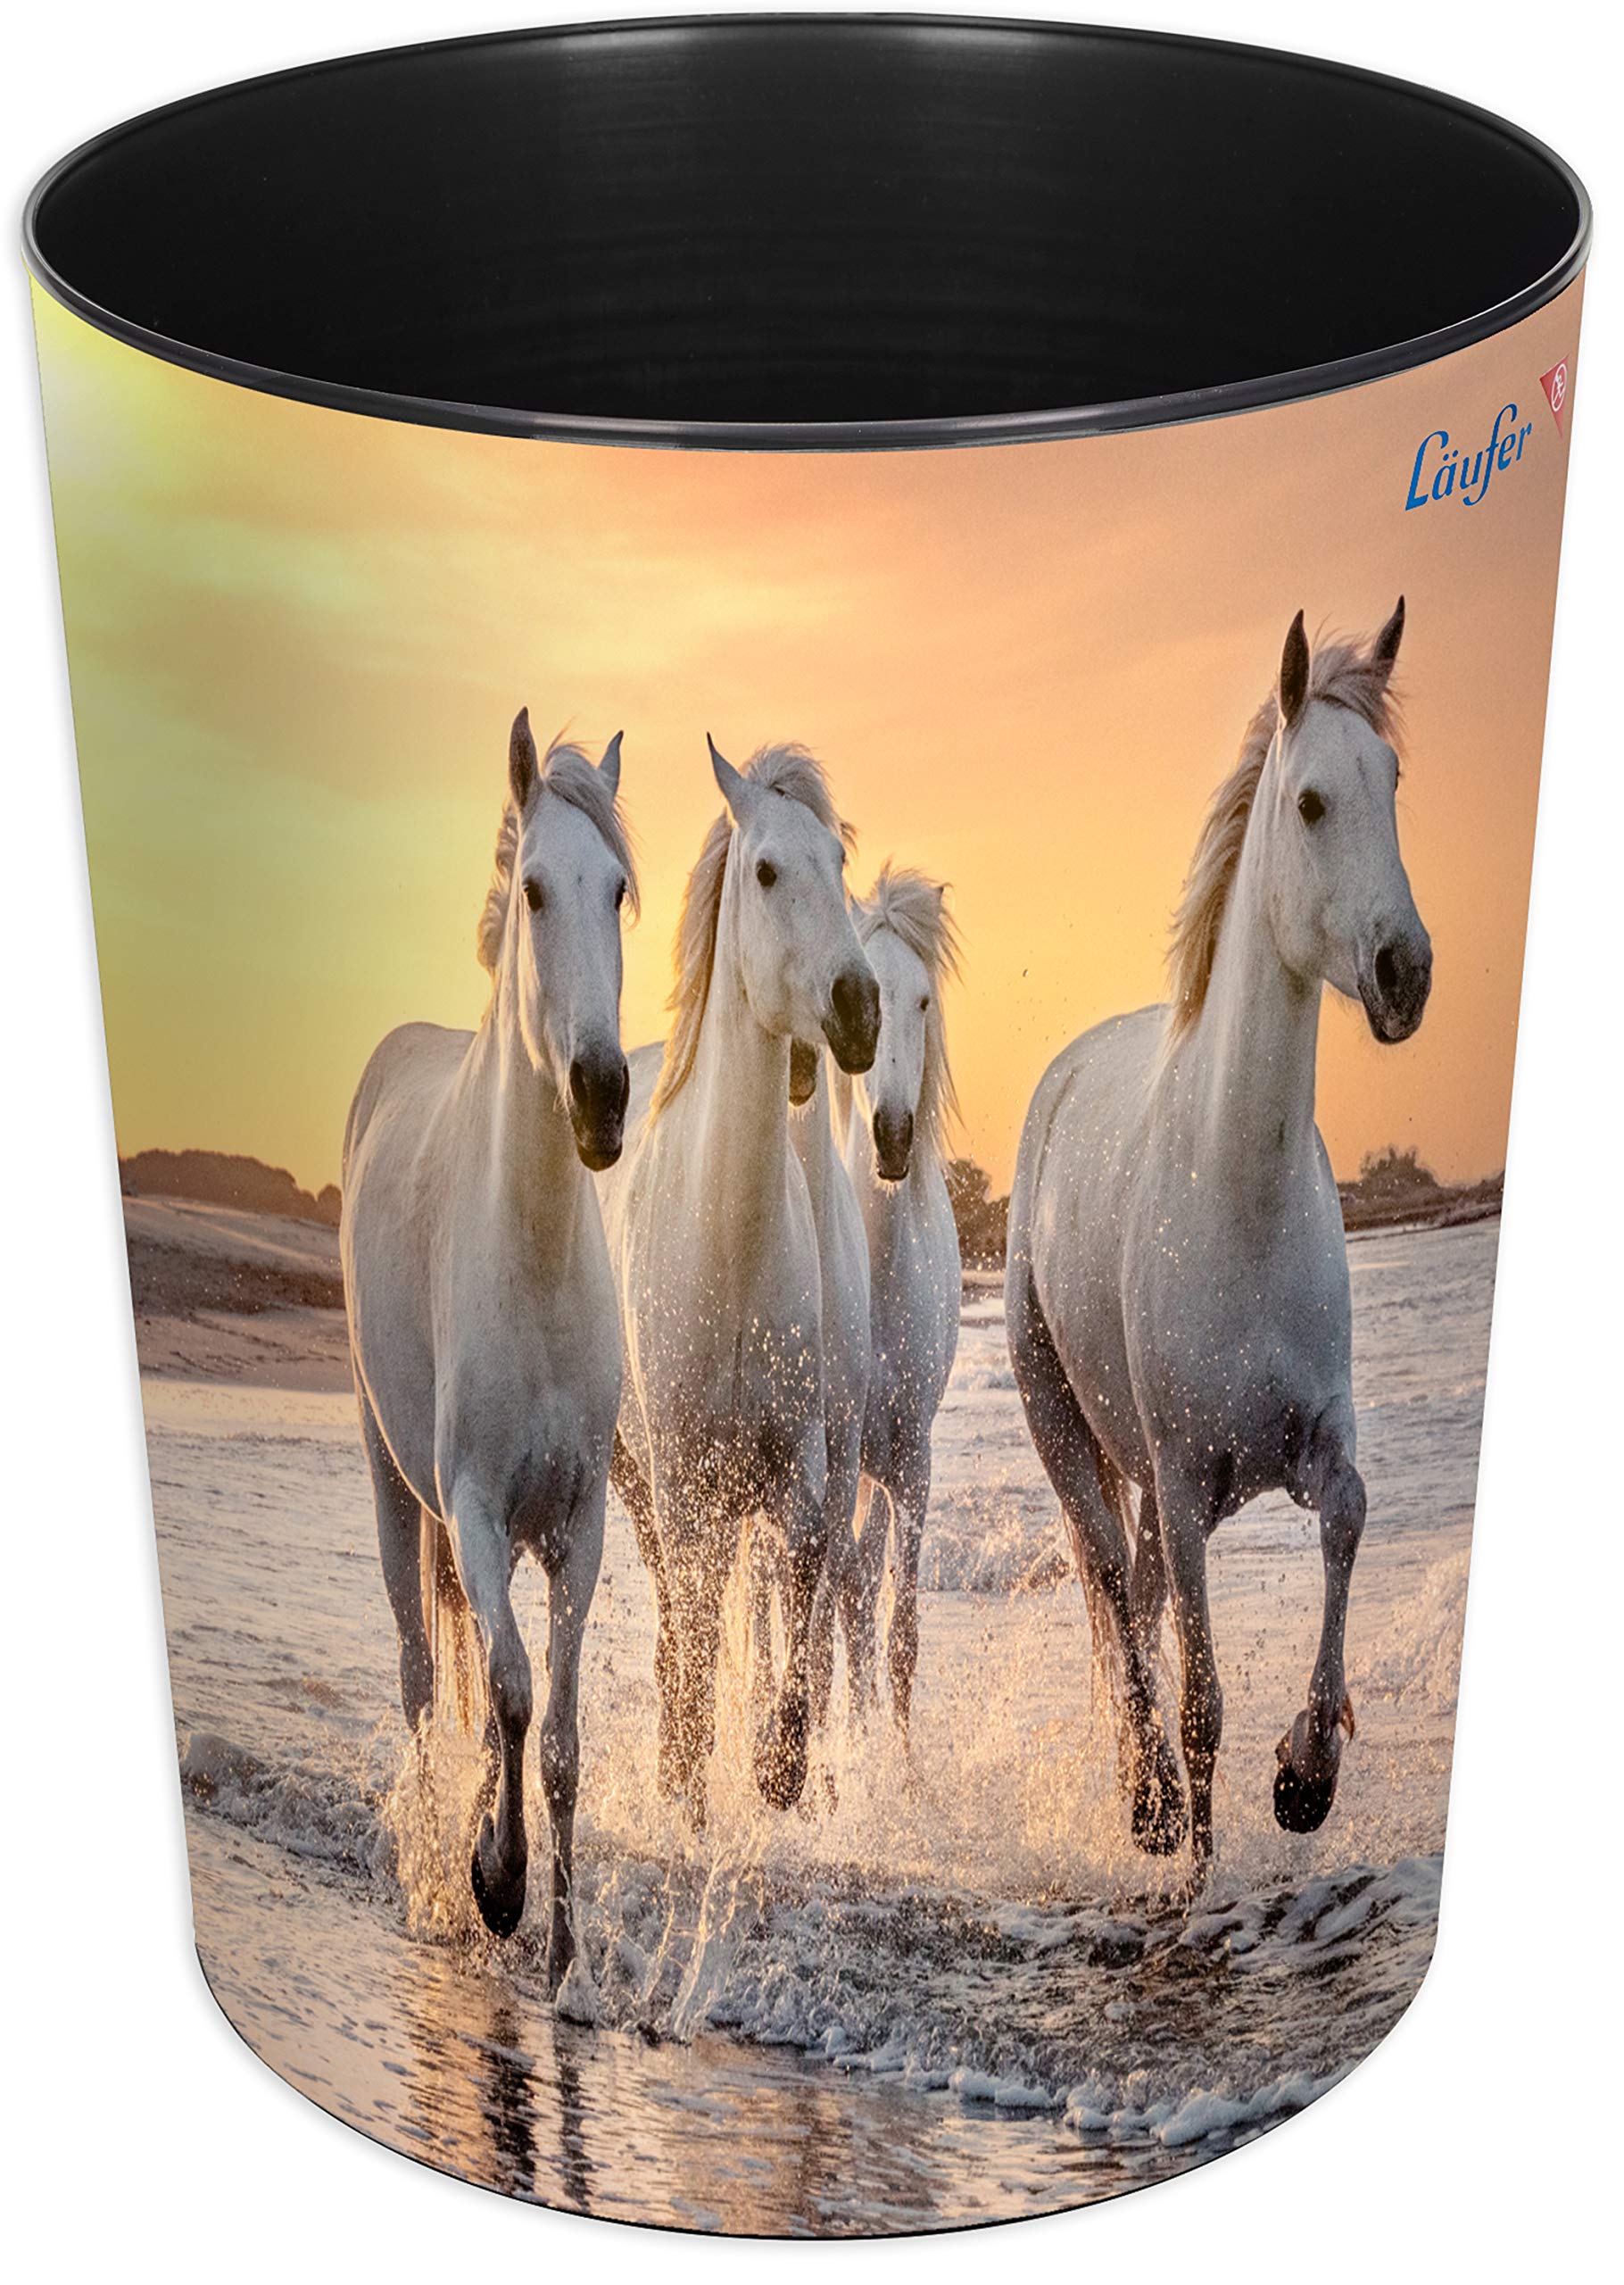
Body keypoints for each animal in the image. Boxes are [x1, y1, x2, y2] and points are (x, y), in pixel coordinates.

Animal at [596, 739, 880, 1828]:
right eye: (764, 871)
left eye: (839, 866)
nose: (860, 1008)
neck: (730, 1249)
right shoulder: (684, 1485)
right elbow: (695, 1634)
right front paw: (686, 1785)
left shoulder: (798, 1473)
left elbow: (794, 1610)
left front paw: (776, 1770)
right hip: (640, 1483)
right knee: (683, 1619)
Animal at [1005, 602, 1431, 1878]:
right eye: (1309, 801)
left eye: (1391, 779)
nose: (1403, 972)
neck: (1234, 1194)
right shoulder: (1190, 1484)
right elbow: (1200, 1707)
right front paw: (1192, 1855)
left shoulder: (1310, 1440)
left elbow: (1349, 1513)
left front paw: (1306, 1774)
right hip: (1069, 1431)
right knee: (1113, 1584)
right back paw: (1142, 1801)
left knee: (1133, 1600)